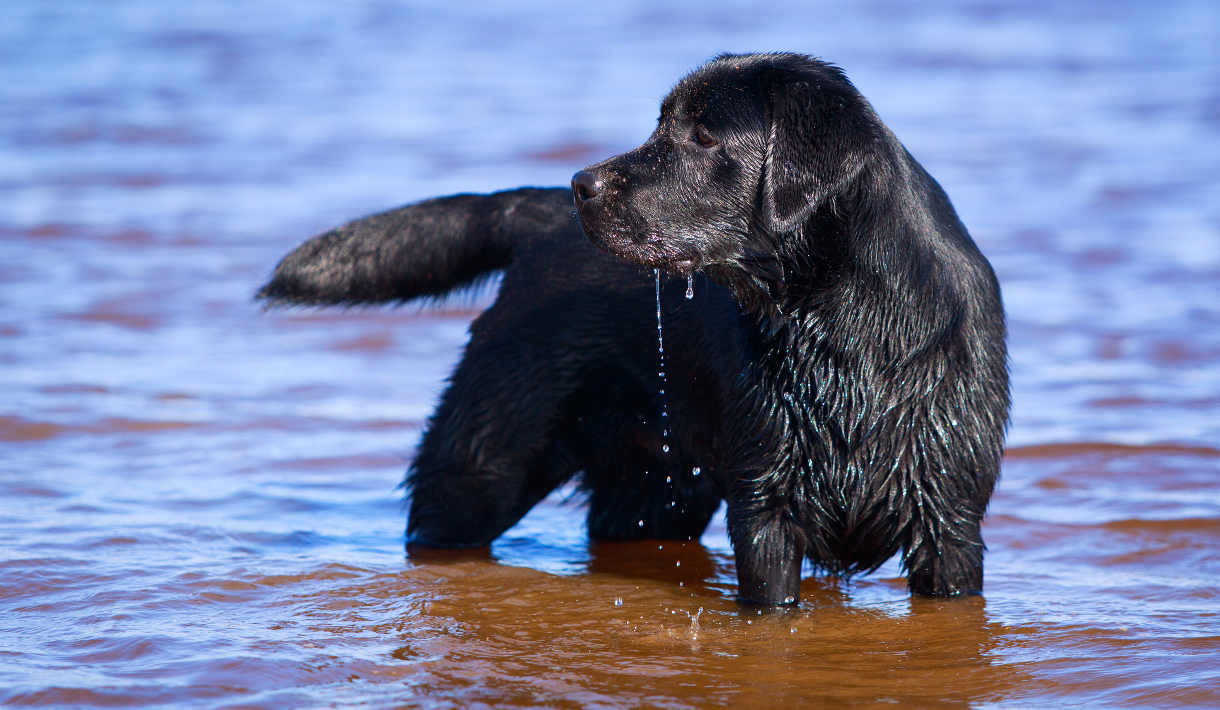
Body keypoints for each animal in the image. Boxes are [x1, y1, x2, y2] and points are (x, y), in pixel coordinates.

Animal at [259, 52, 1010, 605]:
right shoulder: (766, 508)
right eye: (661, 124)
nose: (580, 183)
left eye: (704, 136)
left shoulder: (951, 519)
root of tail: (539, 217)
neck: (846, 326)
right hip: (483, 461)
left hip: (656, 490)